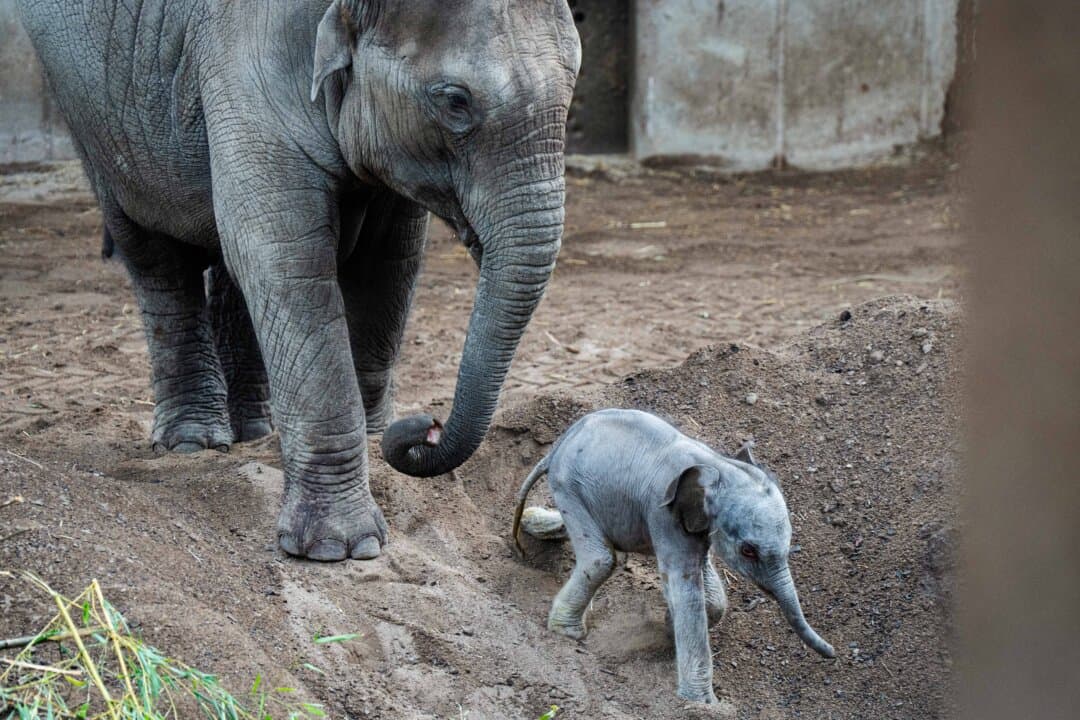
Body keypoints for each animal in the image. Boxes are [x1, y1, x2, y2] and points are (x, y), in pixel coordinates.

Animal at [18, 0, 581, 561]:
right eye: (455, 102)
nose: (426, 426)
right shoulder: (243, 54)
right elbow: (286, 255)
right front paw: (341, 549)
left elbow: (388, 261)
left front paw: (376, 446)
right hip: (92, 107)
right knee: (154, 251)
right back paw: (193, 442)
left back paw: (253, 432)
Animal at [513, 409, 835, 705]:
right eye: (748, 551)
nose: (832, 653)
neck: (718, 466)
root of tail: (558, 446)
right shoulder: (663, 512)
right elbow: (686, 591)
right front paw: (701, 704)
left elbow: (709, 594)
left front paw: (669, 627)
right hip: (569, 486)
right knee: (600, 559)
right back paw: (568, 634)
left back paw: (533, 521)